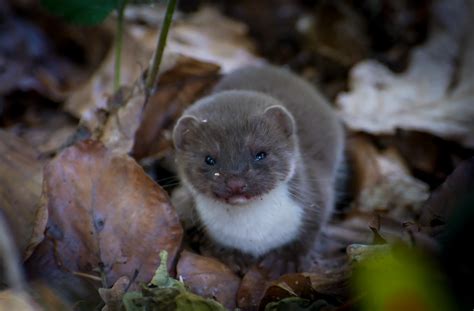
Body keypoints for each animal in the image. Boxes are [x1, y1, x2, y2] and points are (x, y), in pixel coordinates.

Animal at [172, 66, 342, 272]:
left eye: (261, 153)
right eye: (209, 159)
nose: (235, 183)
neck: (254, 234)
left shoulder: (316, 195)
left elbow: (309, 232)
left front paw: (285, 260)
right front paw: (233, 257)